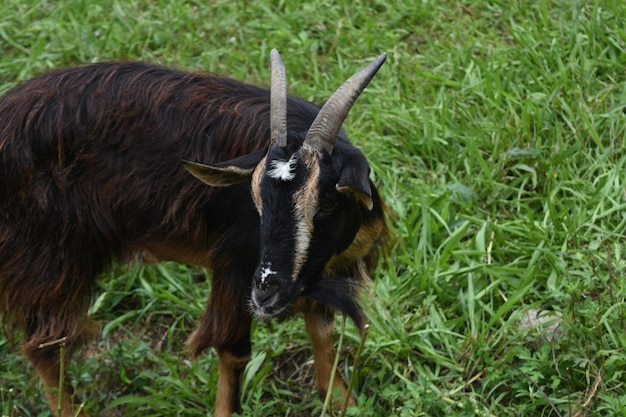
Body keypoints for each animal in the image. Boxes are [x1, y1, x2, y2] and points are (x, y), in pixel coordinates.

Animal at [0, 49, 388, 416]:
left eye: (327, 205)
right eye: (256, 201)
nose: (266, 294)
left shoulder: (320, 272)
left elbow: (321, 328)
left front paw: (341, 400)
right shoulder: (236, 266)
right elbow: (233, 350)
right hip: (49, 255)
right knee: (47, 344)